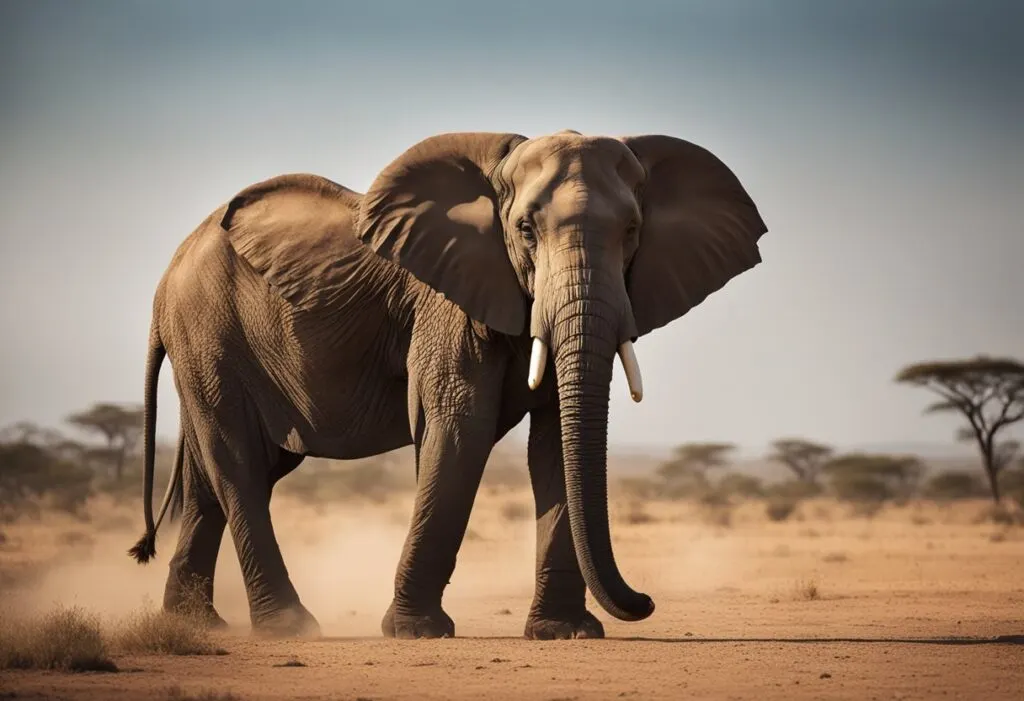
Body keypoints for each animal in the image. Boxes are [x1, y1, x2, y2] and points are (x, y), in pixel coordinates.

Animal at [128, 129, 767, 639]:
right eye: (525, 231)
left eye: (633, 231)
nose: (647, 600)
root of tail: (165, 282)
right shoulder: (447, 305)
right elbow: (461, 428)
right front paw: (416, 632)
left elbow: (553, 443)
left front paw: (564, 634)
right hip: (207, 333)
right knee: (237, 463)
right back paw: (289, 628)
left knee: (219, 474)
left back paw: (194, 624)